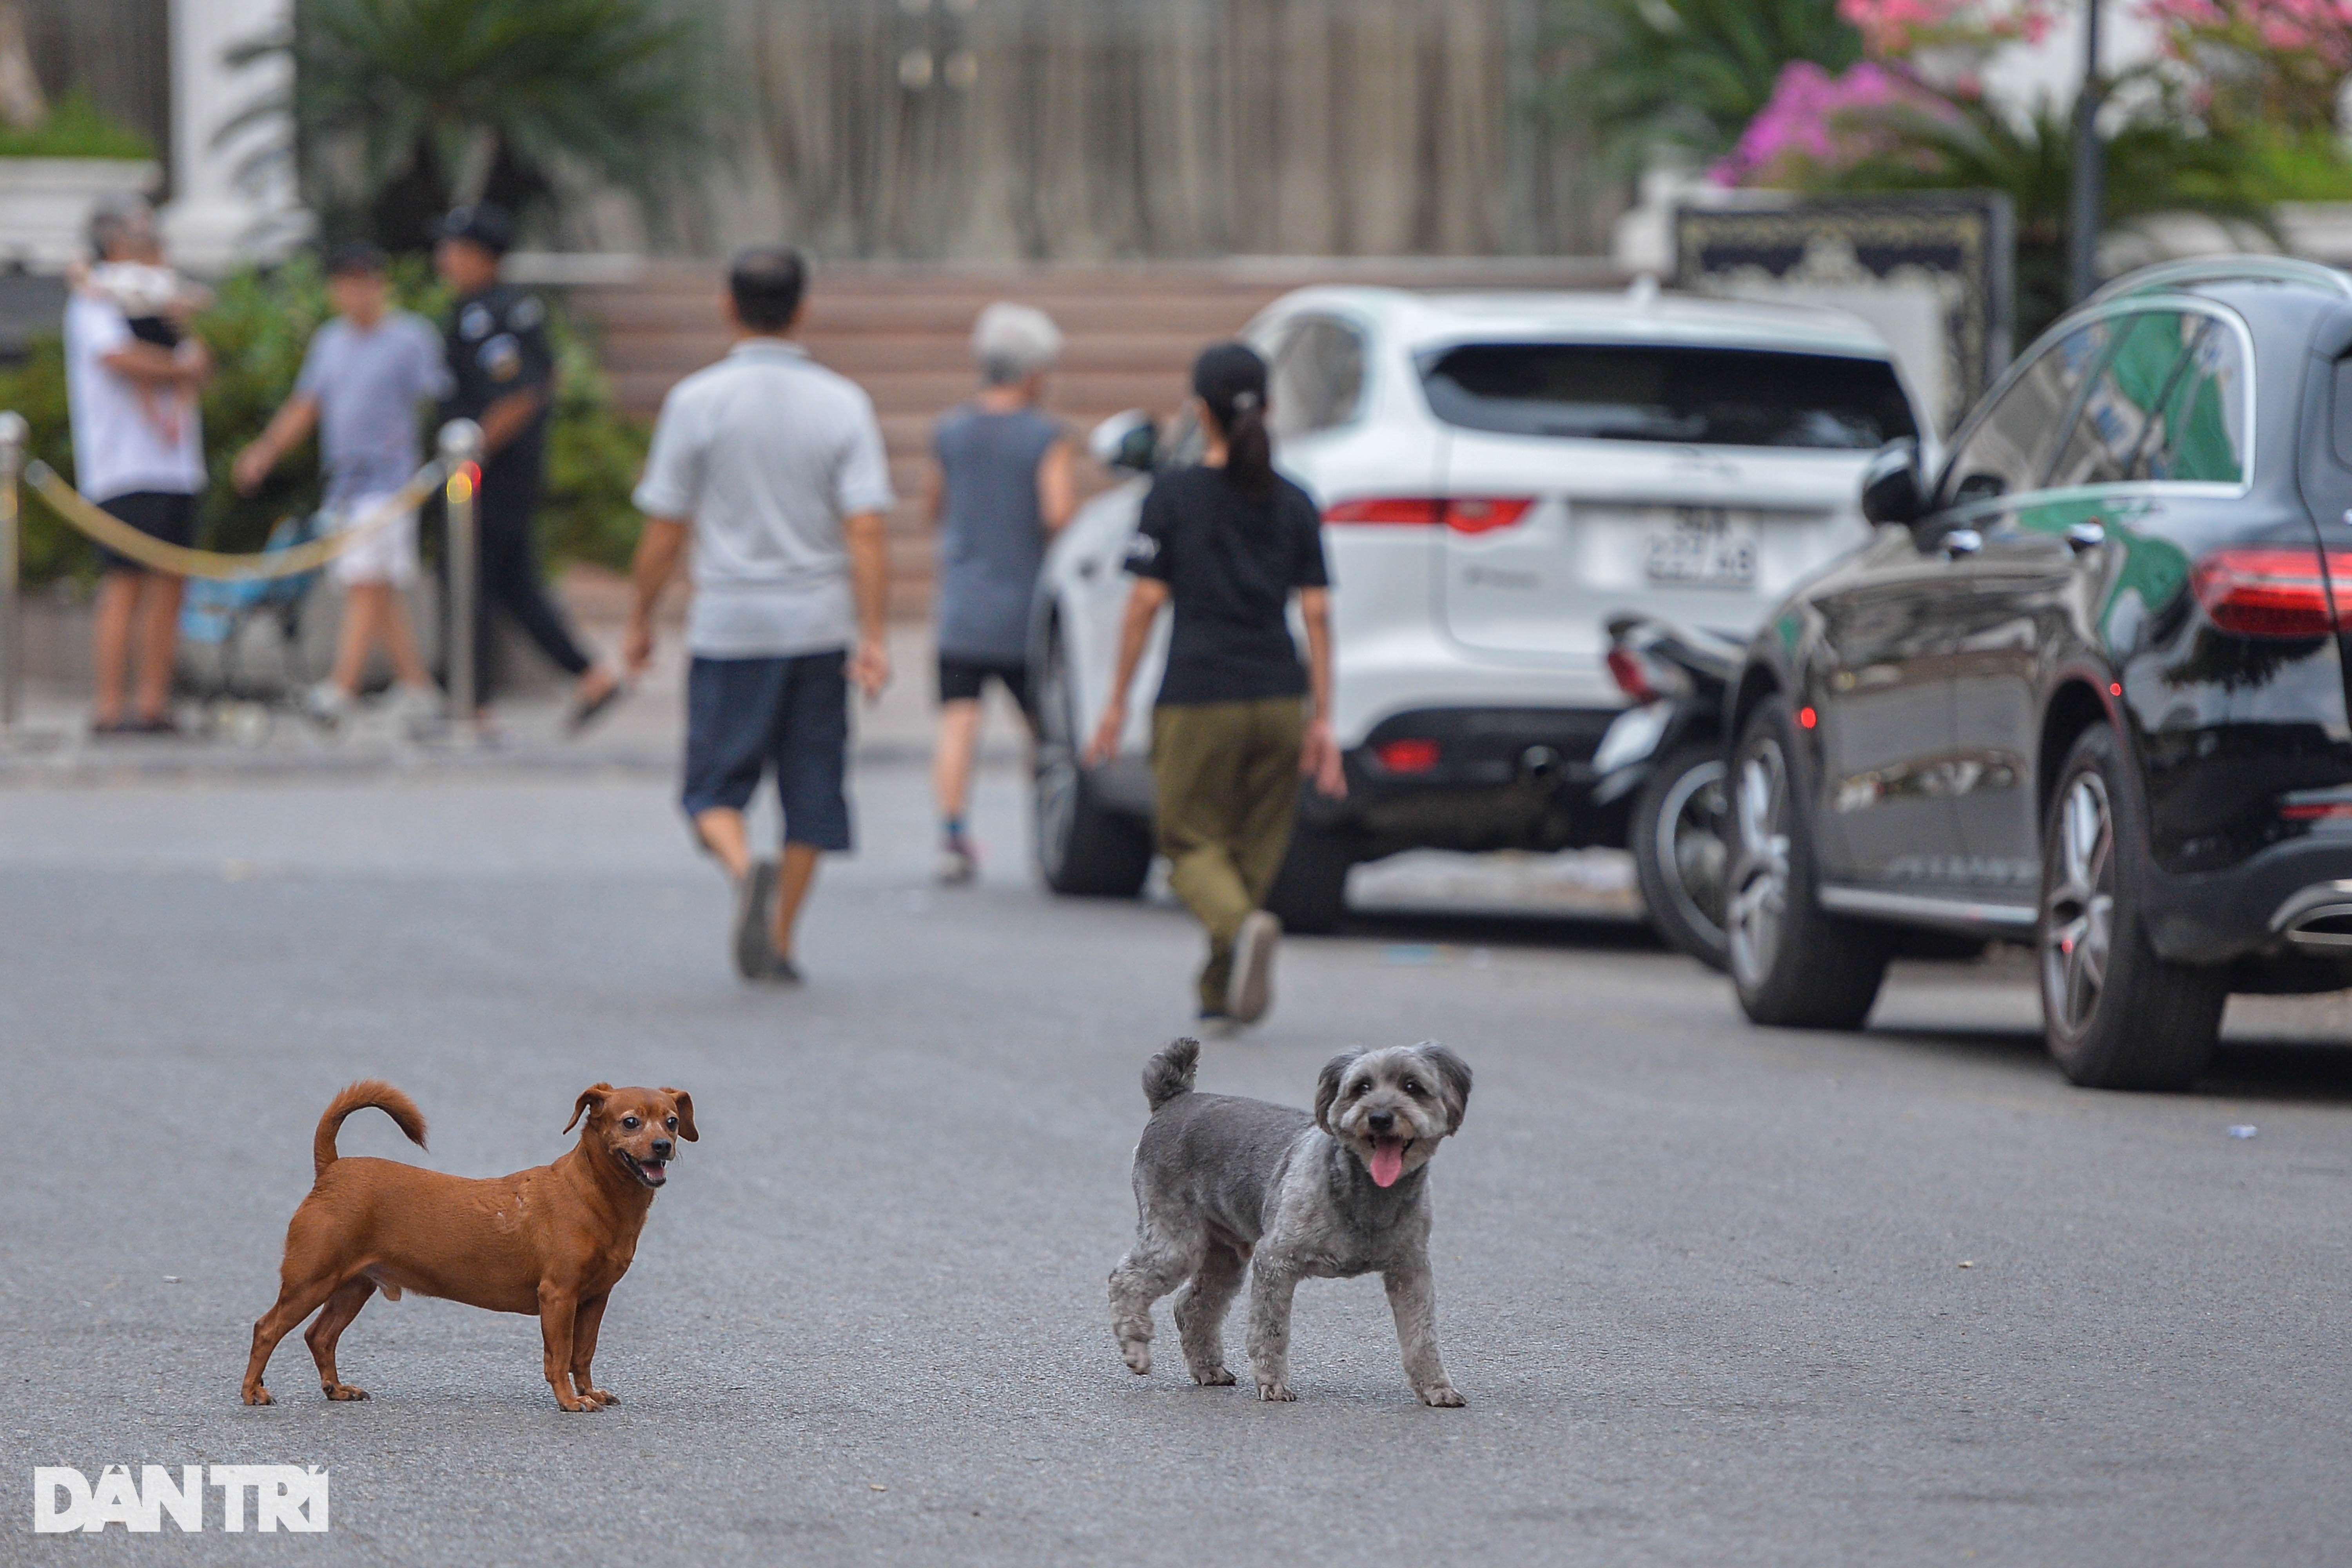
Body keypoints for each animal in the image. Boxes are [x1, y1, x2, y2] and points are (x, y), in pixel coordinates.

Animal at [242, 1086, 691, 1420]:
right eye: (630, 1122)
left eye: (672, 1121)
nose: (663, 1145)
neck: (594, 1194)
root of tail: (331, 1169)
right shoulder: (558, 1296)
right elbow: (559, 1355)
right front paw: (569, 1401)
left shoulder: (595, 1299)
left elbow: (583, 1354)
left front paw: (590, 1393)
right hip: (311, 1282)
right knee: (267, 1328)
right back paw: (253, 1393)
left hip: (354, 1287)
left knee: (320, 1335)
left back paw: (336, 1389)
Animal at [1105, 1034, 1468, 1401]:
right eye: (1362, 1087)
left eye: (1412, 1086)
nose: (1380, 1117)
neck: (1367, 1195)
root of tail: (1173, 1100)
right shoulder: (1276, 1261)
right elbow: (1270, 1330)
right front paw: (1273, 1383)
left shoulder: (1410, 1270)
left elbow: (1422, 1336)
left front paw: (1437, 1387)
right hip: (1177, 1241)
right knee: (1126, 1280)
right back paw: (1136, 1349)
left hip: (1225, 1255)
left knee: (1192, 1306)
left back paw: (1209, 1369)